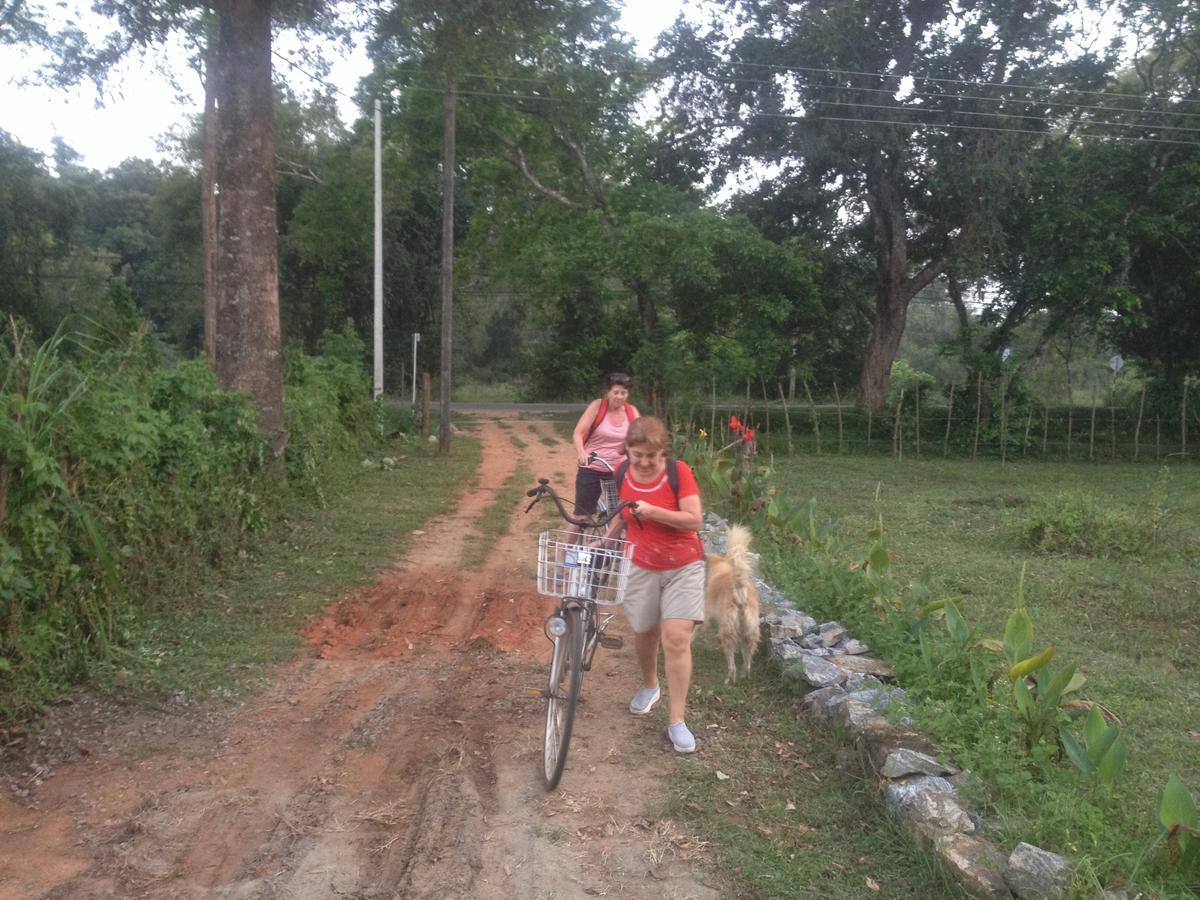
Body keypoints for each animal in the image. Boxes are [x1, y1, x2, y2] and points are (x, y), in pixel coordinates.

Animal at [700, 520, 758, 681]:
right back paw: (745, 676)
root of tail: (740, 591)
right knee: (747, 663)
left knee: (732, 665)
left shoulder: (706, 616)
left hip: (728, 633)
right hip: (748, 635)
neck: (722, 567)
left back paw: (729, 679)